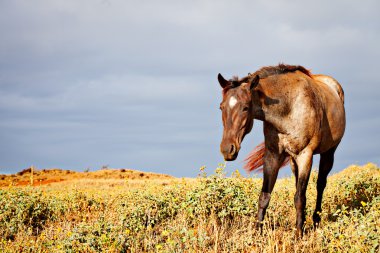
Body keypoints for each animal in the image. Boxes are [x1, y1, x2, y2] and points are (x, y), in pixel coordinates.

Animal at [217, 63, 344, 237]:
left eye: (245, 108)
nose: (227, 149)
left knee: (320, 184)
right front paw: (257, 233)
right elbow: (264, 196)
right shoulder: (272, 156)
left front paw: (298, 234)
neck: (288, 107)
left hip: (328, 153)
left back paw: (316, 220)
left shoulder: (305, 155)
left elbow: (300, 198)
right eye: (221, 107)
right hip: (292, 161)